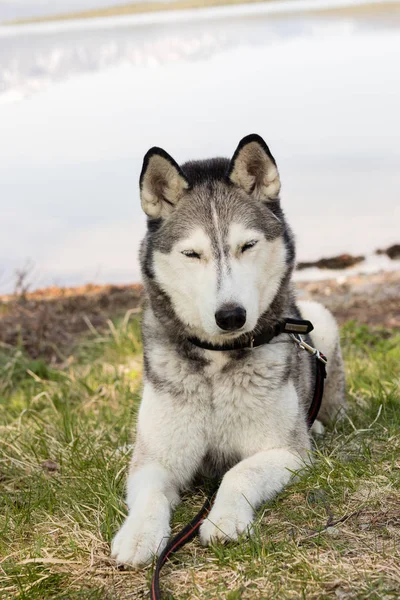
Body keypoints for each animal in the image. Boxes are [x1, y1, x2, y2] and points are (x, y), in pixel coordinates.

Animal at [111, 132, 346, 568]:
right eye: (191, 254)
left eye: (247, 245)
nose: (231, 315)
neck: (217, 361)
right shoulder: (157, 461)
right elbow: (150, 494)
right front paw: (138, 535)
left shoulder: (287, 453)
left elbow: (239, 473)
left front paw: (222, 520)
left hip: (320, 322)